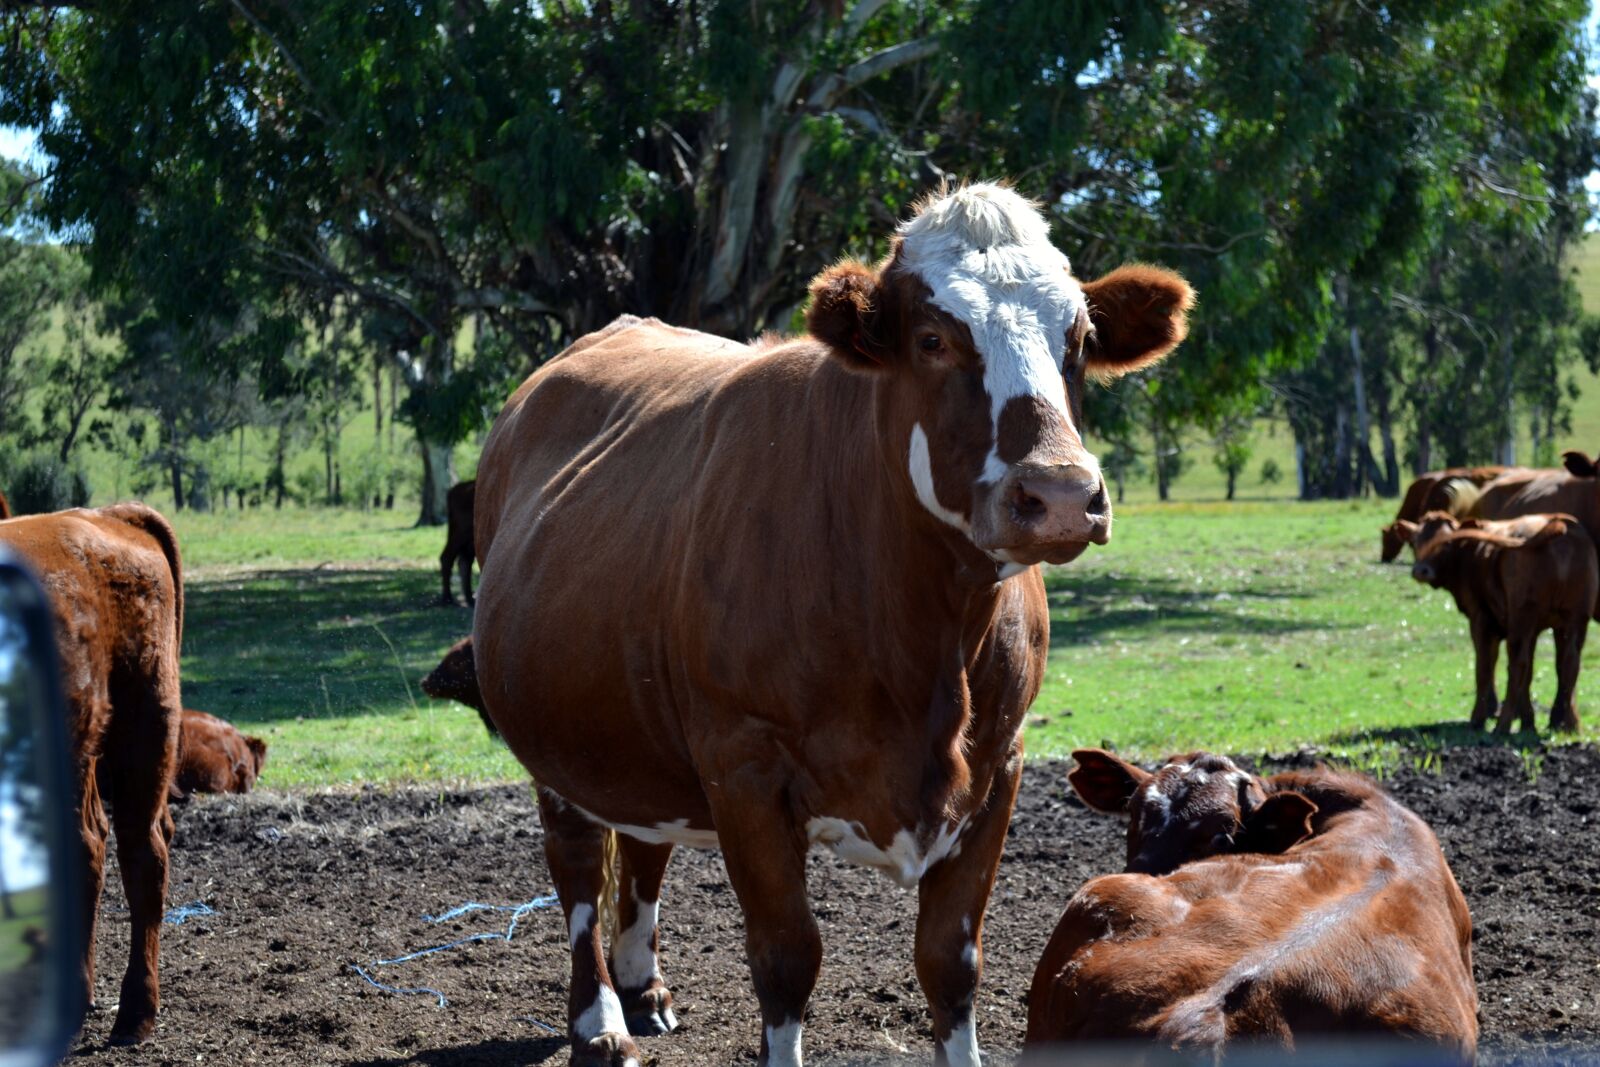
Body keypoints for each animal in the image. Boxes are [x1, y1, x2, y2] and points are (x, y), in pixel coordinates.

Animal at [472, 182, 1193, 1067]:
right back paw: (600, 1020)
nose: (1059, 493)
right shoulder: (742, 764)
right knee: (578, 862)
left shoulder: (1001, 762)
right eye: (931, 338)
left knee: (643, 842)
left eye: (1081, 339)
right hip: (555, 736)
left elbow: (950, 960)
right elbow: (787, 957)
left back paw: (644, 989)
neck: (924, 641)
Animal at [1411, 512, 1595, 733]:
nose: (1420, 570)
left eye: (1446, 543)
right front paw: (1528, 722)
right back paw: (1571, 724)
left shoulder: (1481, 619)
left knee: (1517, 665)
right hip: (1575, 618)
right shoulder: (1535, 630)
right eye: (1415, 541)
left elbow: (1484, 667)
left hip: (1522, 617)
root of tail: (1560, 522)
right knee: (1569, 663)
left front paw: (1478, 719)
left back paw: (1502, 725)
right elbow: (1532, 671)